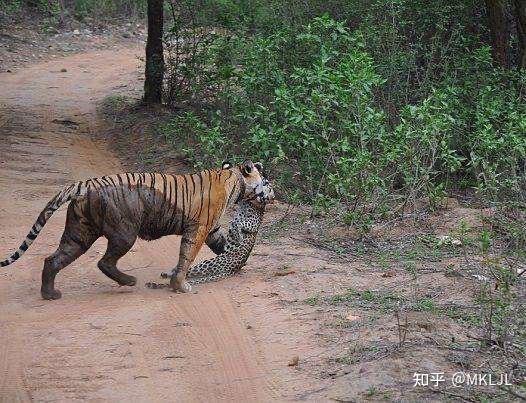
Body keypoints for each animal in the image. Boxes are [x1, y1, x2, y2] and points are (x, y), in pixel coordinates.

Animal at [0, 161, 270, 300]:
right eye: (265, 180)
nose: (270, 190)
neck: (233, 179)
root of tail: (85, 184)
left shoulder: (211, 228)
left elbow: (221, 245)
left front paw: (236, 256)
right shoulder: (199, 228)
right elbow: (186, 258)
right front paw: (180, 286)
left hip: (79, 234)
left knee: (53, 259)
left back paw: (50, 294)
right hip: (124, 233)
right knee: (104, 262)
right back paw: (129, 281)